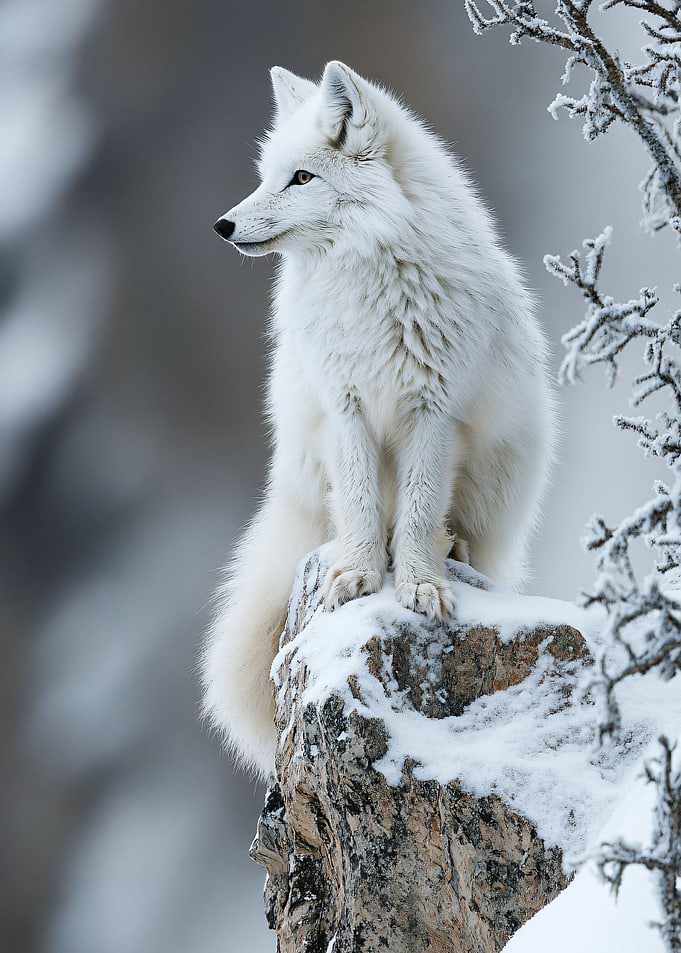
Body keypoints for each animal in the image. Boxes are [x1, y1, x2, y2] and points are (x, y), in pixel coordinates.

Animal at [202, 61, 555, 778]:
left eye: (301, 178)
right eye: (266, 174)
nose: (223, 225)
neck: (367, 277)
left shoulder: (434, 411)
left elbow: (417, 511)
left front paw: (418, 584)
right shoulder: (345, 408)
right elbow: (364, 505)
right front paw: (359, 575)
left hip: (500, 470)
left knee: (456, 530)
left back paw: (451, 550)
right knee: (341, 517)